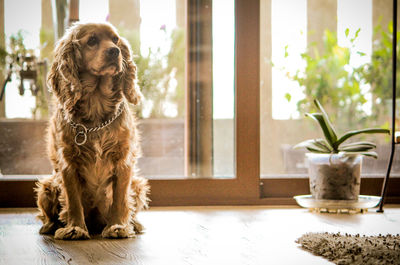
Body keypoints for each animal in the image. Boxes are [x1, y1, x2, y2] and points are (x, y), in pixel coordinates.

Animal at [34, 22, 149, 239]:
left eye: (115, 40)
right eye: (92, 41)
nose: (115, 51)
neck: (96, 105)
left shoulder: (123, 160)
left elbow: (120, 199)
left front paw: (118, 226)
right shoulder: (68, 163)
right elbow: (73, 202)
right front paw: (75, 228)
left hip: (138, 185)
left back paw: (134, 224)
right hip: (47, 186)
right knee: (49, 213)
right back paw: (50, 226)